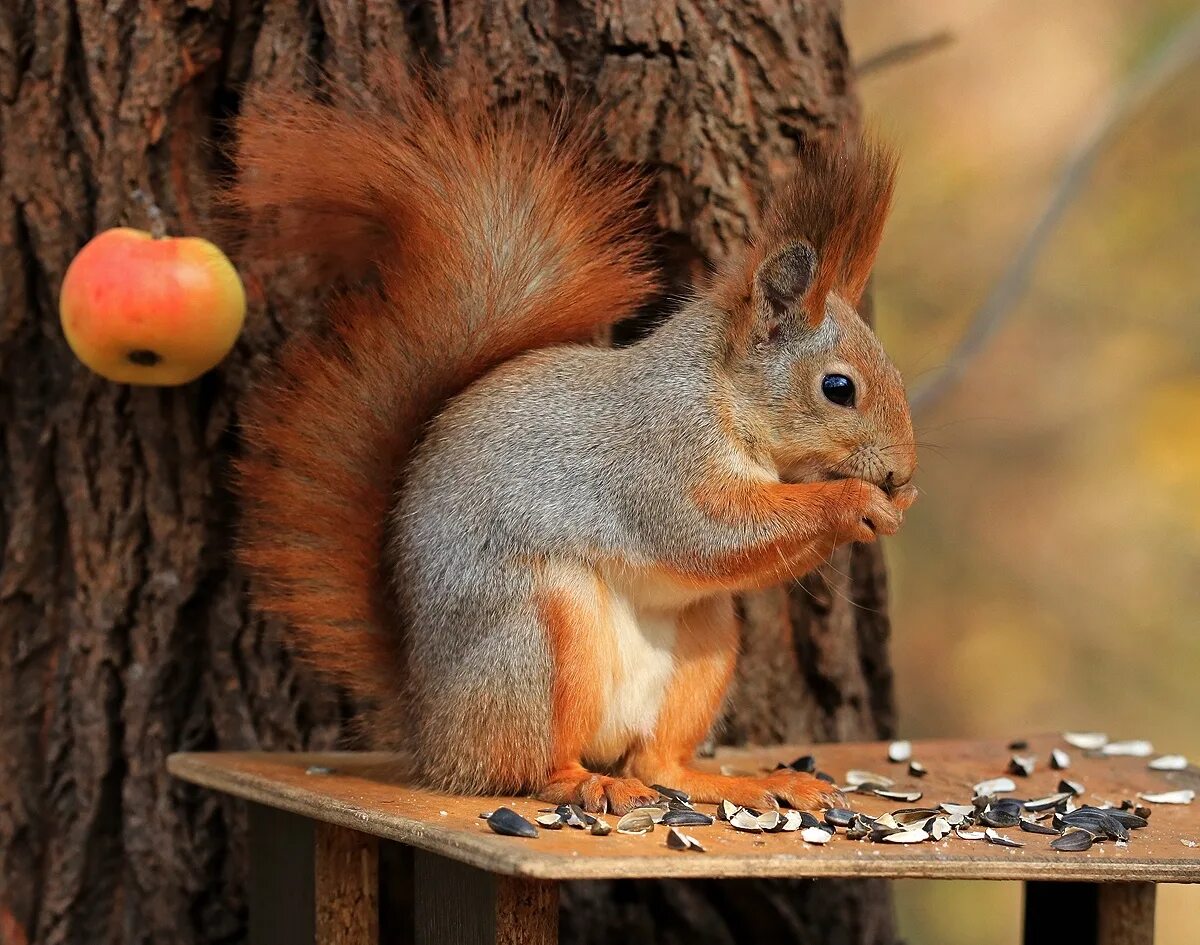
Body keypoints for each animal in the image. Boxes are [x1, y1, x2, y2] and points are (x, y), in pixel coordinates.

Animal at [236, 70, 916, 815]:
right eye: (838, 387)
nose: (902, 472)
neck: (724, 398)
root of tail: (431, 727)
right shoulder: (658, 453)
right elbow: (708, 532)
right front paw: (855, 503)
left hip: (705, 639)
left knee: (657, 762)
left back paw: (745, 782)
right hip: (543, 631)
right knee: (528, 765)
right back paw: (585, 781)